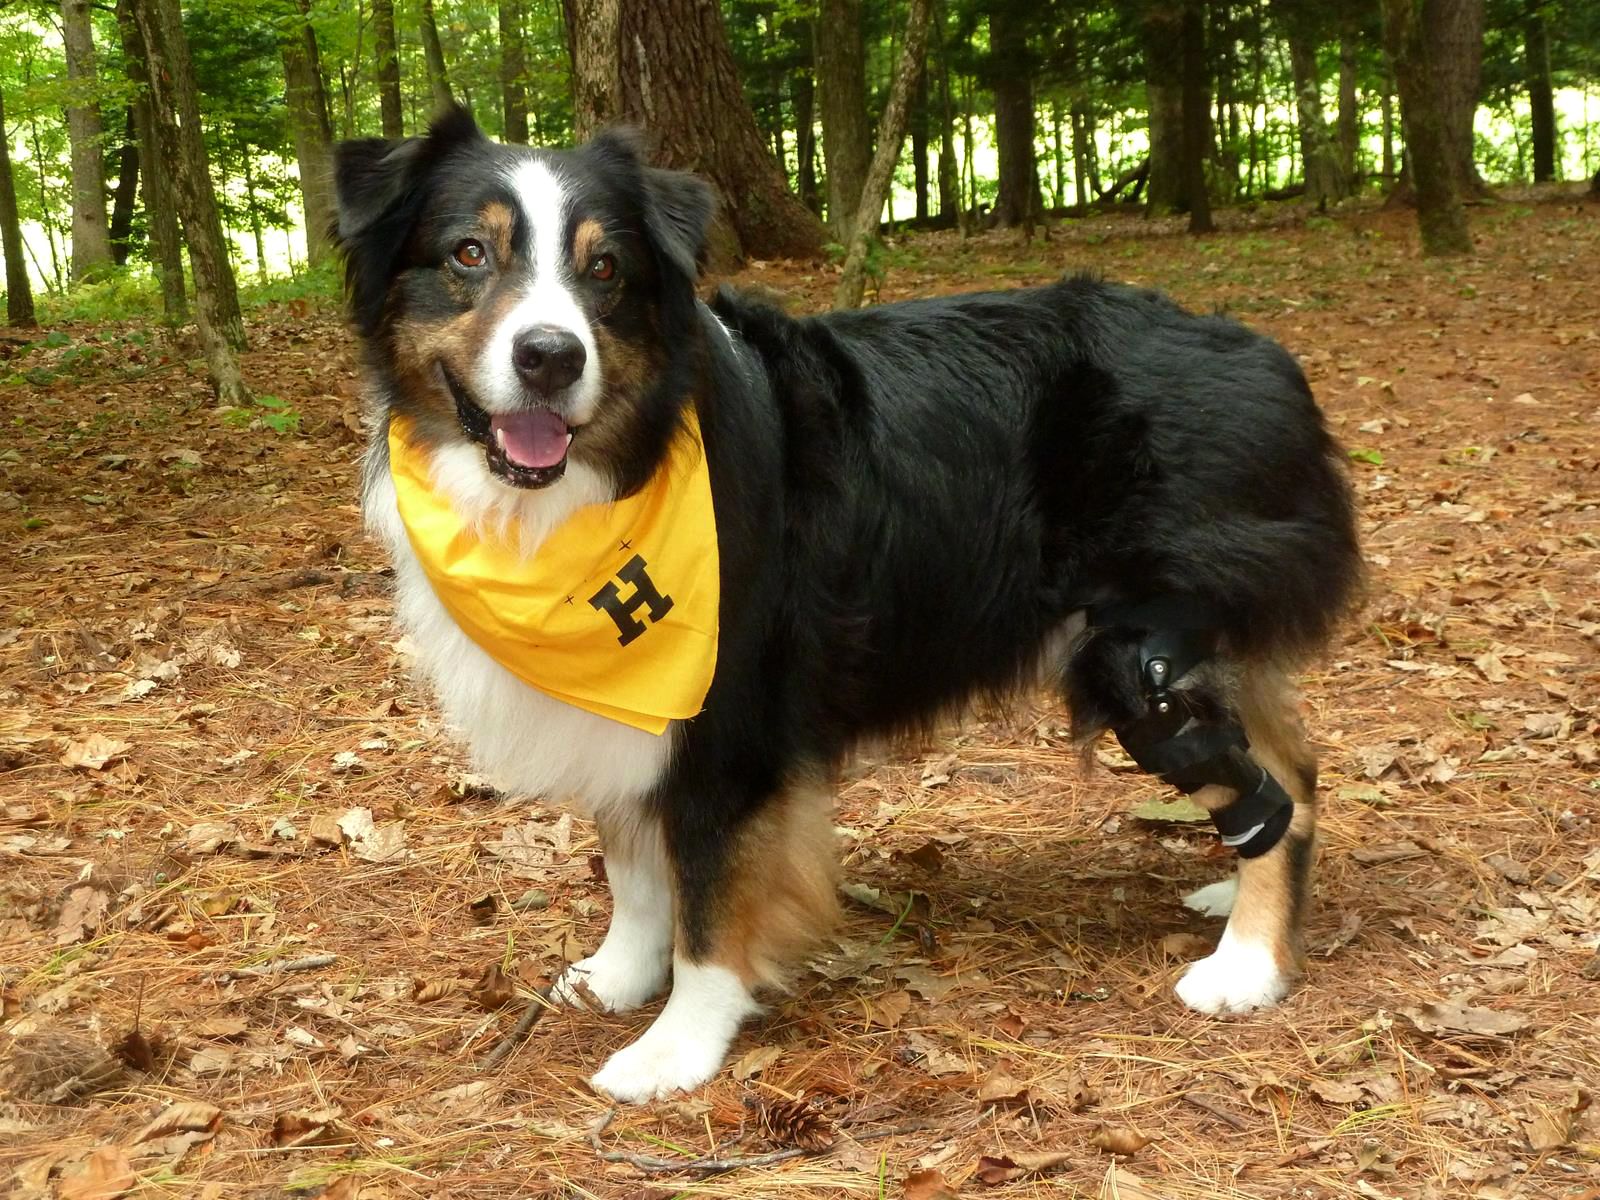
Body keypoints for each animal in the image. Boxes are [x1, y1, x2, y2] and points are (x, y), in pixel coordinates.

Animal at [334, 112, 1363, 1107]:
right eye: (470, 253)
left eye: (605, 270)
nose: (551, 357)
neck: (617, 469)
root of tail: (1265, 355)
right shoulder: (627, 709)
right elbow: (633, 860)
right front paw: (621, 974)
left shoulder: (732, 716)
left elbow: (709, 901)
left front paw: (678, 1044)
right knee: (1294, 771)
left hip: (1149, 650)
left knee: (1266, 778)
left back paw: (1248, 963)